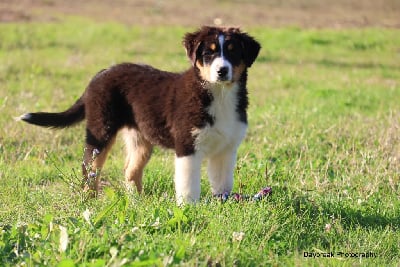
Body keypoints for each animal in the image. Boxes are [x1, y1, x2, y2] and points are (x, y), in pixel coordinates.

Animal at [20, 26, 260, 205]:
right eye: (208, 53)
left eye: (233, 51)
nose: (222, 71)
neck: (219, 94)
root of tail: (100, 74)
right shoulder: (187, 146)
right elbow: (188, 185)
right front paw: (188, 209)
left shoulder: (226, 149)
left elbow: (223, 183)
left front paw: (223, 204)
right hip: (100, 130)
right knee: (90, 169)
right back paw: (89, 202)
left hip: (140, 138)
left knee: (130, 171)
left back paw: (137, 202)